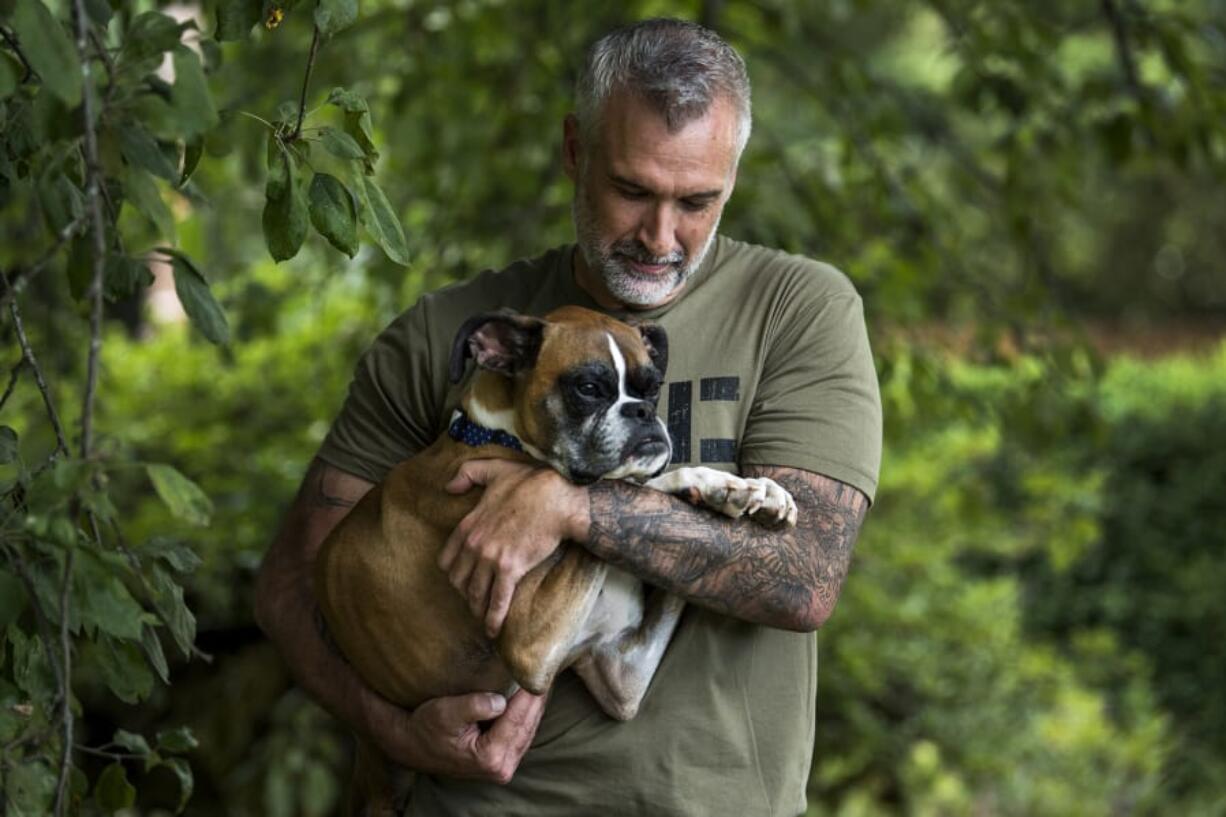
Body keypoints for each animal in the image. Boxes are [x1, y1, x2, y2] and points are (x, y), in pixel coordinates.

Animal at [313, 304, 794, 809]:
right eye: (588, 388)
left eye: (652, 387)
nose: (643, 411)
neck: (500, 437)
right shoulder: (533, 644)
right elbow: (631, 484)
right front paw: (712, 486)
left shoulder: (624, 673)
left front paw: (739, 488)